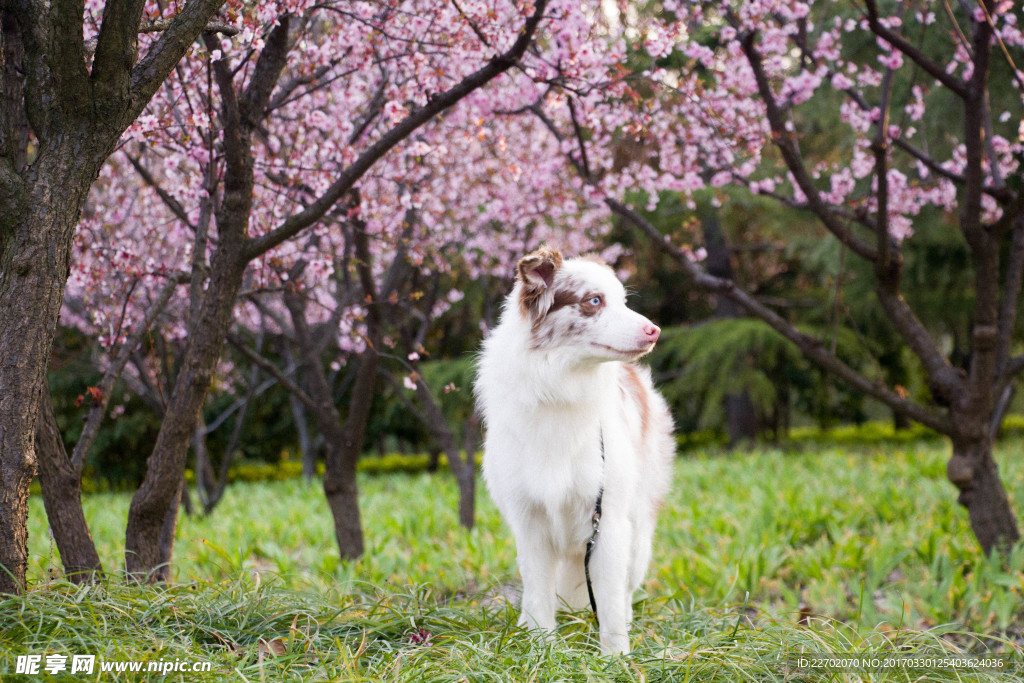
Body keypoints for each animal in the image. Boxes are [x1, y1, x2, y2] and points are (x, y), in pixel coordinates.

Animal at [475, 246, 675, 655]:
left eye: (623, 301)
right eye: (594, 301)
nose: (655, 331)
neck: (559, 388)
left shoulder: (608, 522)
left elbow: (610, 602)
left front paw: (616, 657)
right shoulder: (529, 521)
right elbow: (538, 594)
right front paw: (540, 648)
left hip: (638, 527)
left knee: (626, 586)